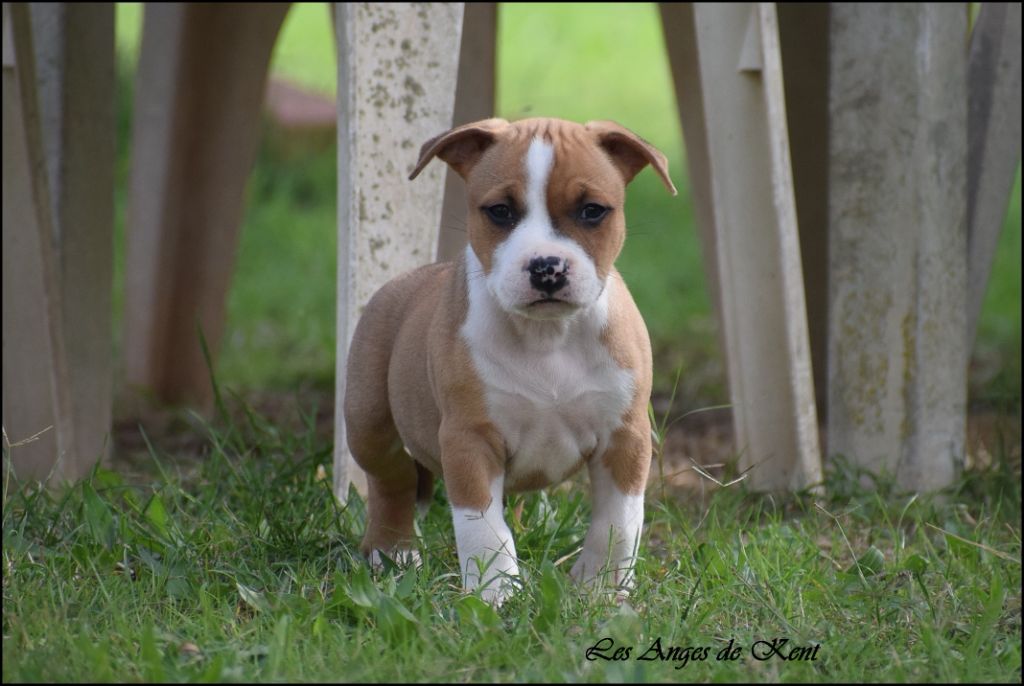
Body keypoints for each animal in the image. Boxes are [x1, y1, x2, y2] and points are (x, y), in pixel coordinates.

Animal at [346, 118, 679, 606]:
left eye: (592, 211)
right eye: (500, 211)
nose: (547, 267)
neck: (547, 336)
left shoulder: (625, 438)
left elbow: (618, 524)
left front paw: (600, 590)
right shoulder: (470, 440)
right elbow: (483, 528)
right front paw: (496, 593)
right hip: (367, 421)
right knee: (393, 479)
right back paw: (394, 551)